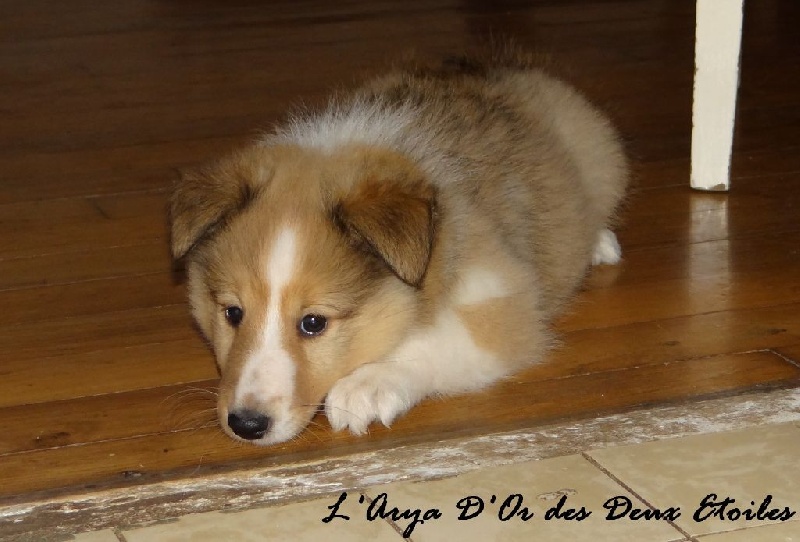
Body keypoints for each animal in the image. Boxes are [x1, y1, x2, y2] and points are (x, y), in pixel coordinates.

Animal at [170, 49, 628, 446]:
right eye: (232, 313)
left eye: (313, 323)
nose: (246, 425)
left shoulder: (501, 304)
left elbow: (436, 340)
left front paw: (366, 386)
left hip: (598, 156)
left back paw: (600, 242)